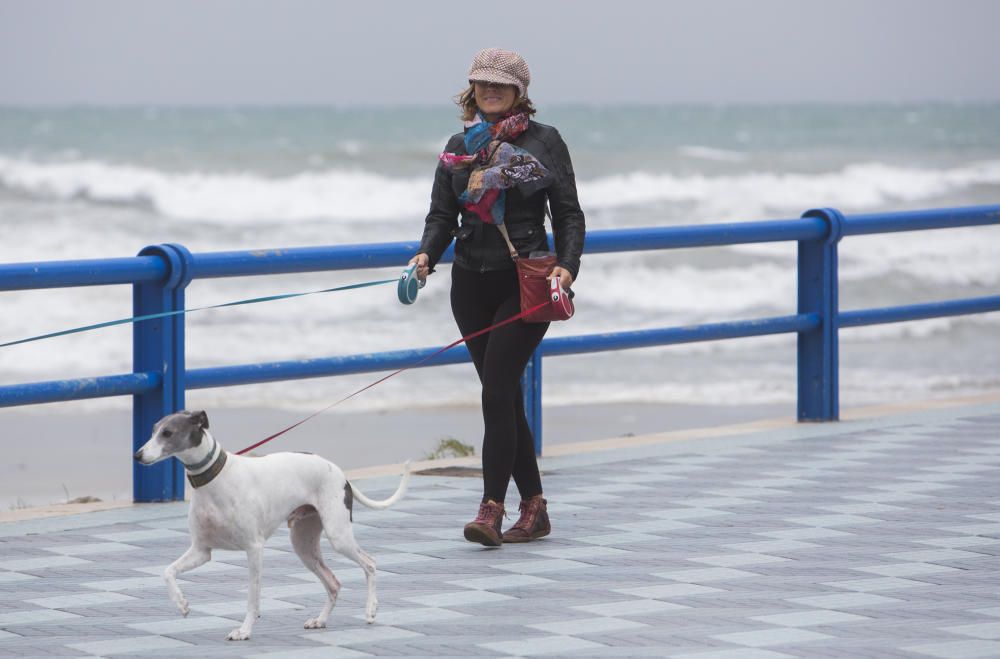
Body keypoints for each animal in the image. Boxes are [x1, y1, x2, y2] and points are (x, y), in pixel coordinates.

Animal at [135, 410, 408, 640]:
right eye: (153, 430)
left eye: (168, 433)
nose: (137, 455)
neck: (216, 479)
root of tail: (340, 472)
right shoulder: (201, 551)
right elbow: (168, 571)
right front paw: (181, 604)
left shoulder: (254, 548)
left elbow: (252, 597)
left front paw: (244, 631)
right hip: (303, 545)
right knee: (333, 583)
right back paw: (320, 620)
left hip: (337, 535)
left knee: (370, 563)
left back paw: (371, 610)